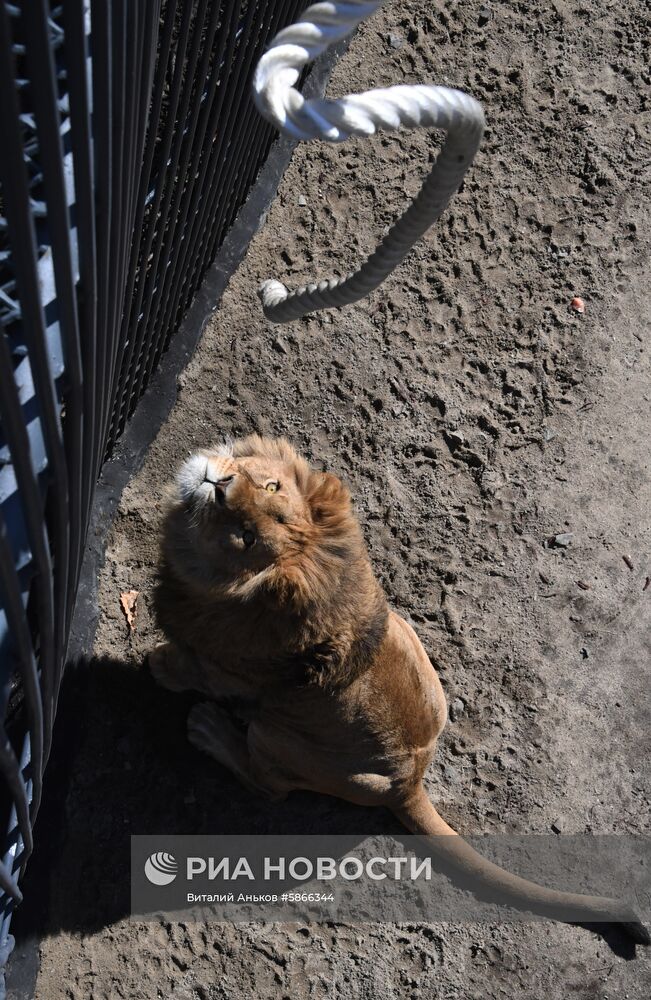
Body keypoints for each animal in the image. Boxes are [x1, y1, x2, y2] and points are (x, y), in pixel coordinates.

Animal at [152, 434, 648, 940]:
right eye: (267, 485)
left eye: (247, 536)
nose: (218, 485)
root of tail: (410, 784)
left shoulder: (214, 665)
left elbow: (180, 667)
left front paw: (156, 664)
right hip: (407, 635)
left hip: (278, 739)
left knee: (268, 785)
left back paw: (210, 730)